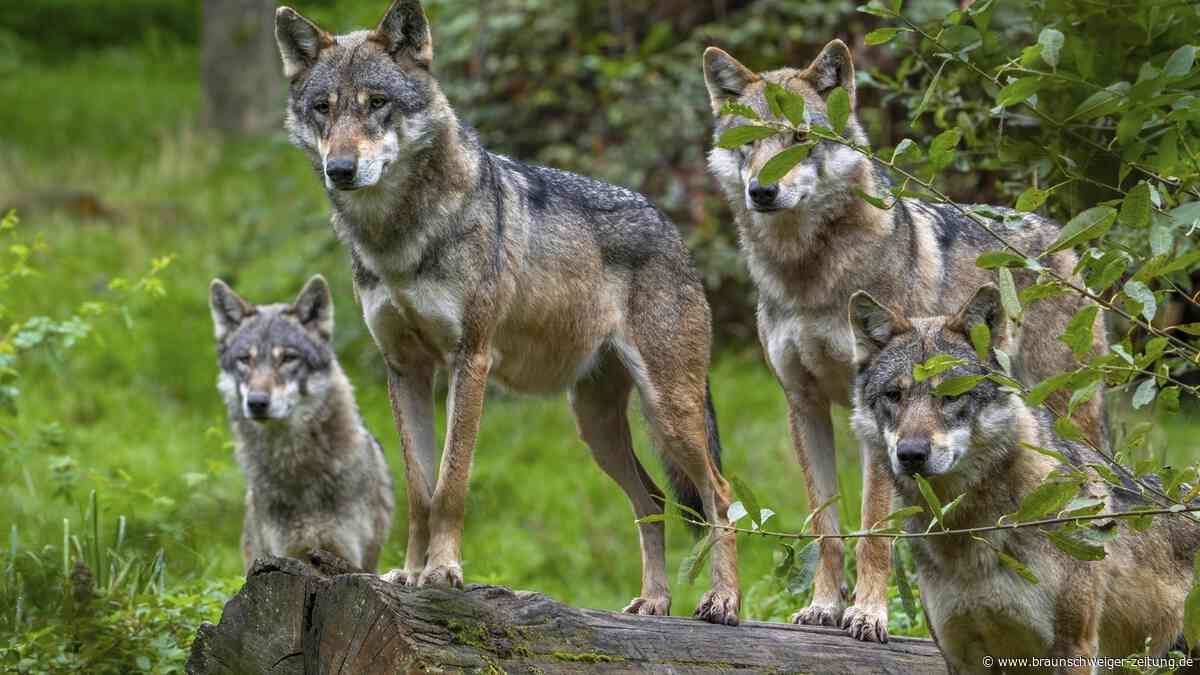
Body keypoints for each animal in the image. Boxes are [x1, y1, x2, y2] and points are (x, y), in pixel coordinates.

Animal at [210, 275, 394, 572]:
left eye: (287, 358)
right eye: (245, 360)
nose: (257, 402)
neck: (297, 468)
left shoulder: (346, 557)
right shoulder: (283, 556)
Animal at [272, 0, 740, 623]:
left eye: (377, 103)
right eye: (323, 108)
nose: (341, 169)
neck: (398, 238)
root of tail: (671, 228)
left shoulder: (469, 361)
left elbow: (450, 484)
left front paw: (442, 573)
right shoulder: (406, 369)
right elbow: (419, 490)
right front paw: (409, 572)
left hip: (670, 411)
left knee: (720, 494)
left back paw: (723, 600)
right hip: (596, 425)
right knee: (654, 499)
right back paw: (654, 602)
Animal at [703, 41, 1107, 641]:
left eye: (800, 137)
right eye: (748, 141)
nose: (762, 190)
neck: (807, 275)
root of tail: (1063, 236)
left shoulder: (873, 423)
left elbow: (874, 529)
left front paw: (868, 614)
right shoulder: (805, 405)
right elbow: (826, 527)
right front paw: (824, 607)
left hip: (1066, 413)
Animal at [849, 286, 1198, 672]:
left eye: (952, 395)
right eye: (894, 396)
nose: (910, 454)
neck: (970, 536)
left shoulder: (1073, 649)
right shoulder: (960, 654)